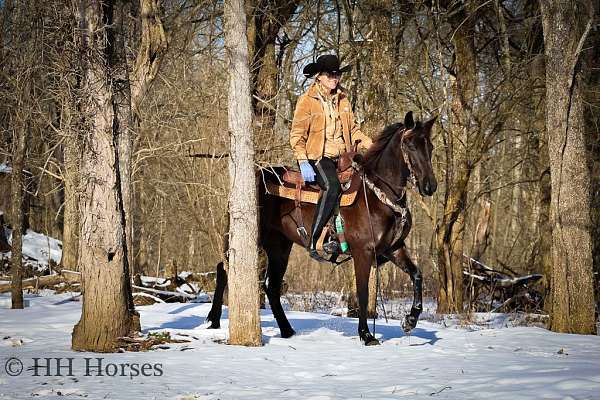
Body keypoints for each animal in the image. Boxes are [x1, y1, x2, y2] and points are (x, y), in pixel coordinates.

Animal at [206, 111, 436, 346]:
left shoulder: (394, 248)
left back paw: (287, 331)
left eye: (430, 146)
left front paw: (410, 320)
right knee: (224, 268)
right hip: (253, 239)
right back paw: (213, 320)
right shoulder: (363, 252)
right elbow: (362, 293)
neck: (377, 196)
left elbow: (417, 275)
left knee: (272, 288)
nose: (430, 186)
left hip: (280, 247)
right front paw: (366, 335)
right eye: (410, 145)